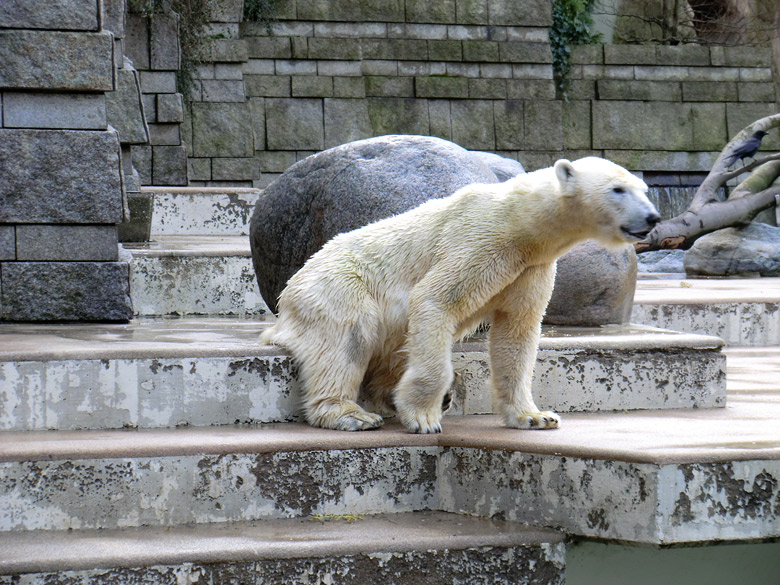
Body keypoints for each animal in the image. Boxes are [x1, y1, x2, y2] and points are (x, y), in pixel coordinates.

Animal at [260, 157, 660, 432]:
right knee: (347, 337)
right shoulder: (478, 241)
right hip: (336, 285)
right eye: (617, 189)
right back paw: (353, 414)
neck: (520, 224)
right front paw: (422, 417)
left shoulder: (531, 268)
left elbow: (517, 331)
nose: (653, 217)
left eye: (644, 189)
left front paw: (535, 416)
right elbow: (435, 300)